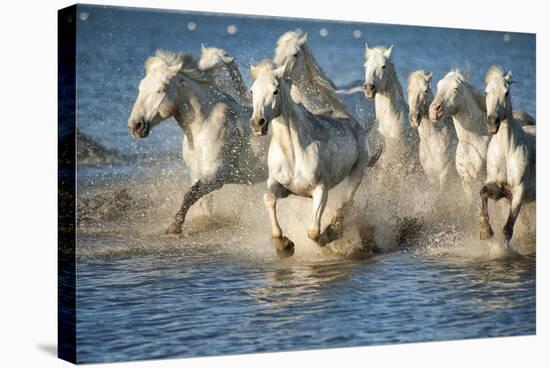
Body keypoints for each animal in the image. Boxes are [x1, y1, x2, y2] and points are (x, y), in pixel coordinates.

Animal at [128, 49, 268, 233]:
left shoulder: (216, 176)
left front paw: (174, 227)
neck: (202, 127)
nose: (136, 126)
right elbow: (203, 202)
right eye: (140, 87)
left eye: (161, 89)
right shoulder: (197, 173)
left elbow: (190, 195)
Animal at [251, 63, 378, 258]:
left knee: (346, 202)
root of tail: (355, 122)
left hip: (358, 171)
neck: (293, 152)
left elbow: (313, 232)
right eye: (252, 91)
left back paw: (336, 231)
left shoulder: (320, 189)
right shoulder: (282, 186)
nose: (258, 123)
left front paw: (326, 236)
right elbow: (269, 198)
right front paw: (284, 246)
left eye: (275, 90)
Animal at [480, 66, 536, 244]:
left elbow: (507, 229)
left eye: (506, 92)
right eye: (486, 92)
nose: (493, 121)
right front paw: (485, 231)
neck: (506, 152)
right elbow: (483, 191)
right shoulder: (499, 189)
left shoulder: (519, 192)